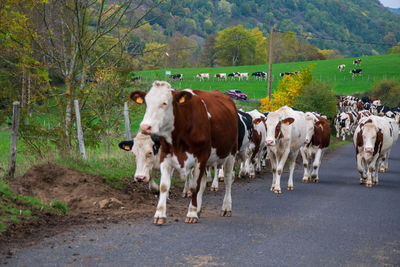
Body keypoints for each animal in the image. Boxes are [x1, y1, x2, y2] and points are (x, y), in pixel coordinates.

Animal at [130, 81, 238, 224]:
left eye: (164, 103)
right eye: (146, 103)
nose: (144, 127)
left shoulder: (201, 157)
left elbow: (194, 187)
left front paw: (191, 213)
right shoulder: (165, 156)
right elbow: (164, 186)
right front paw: (160, 214)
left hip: (231, 153)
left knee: (227, 179)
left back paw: (226, 208)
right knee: (203, 182)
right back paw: (199, 209)